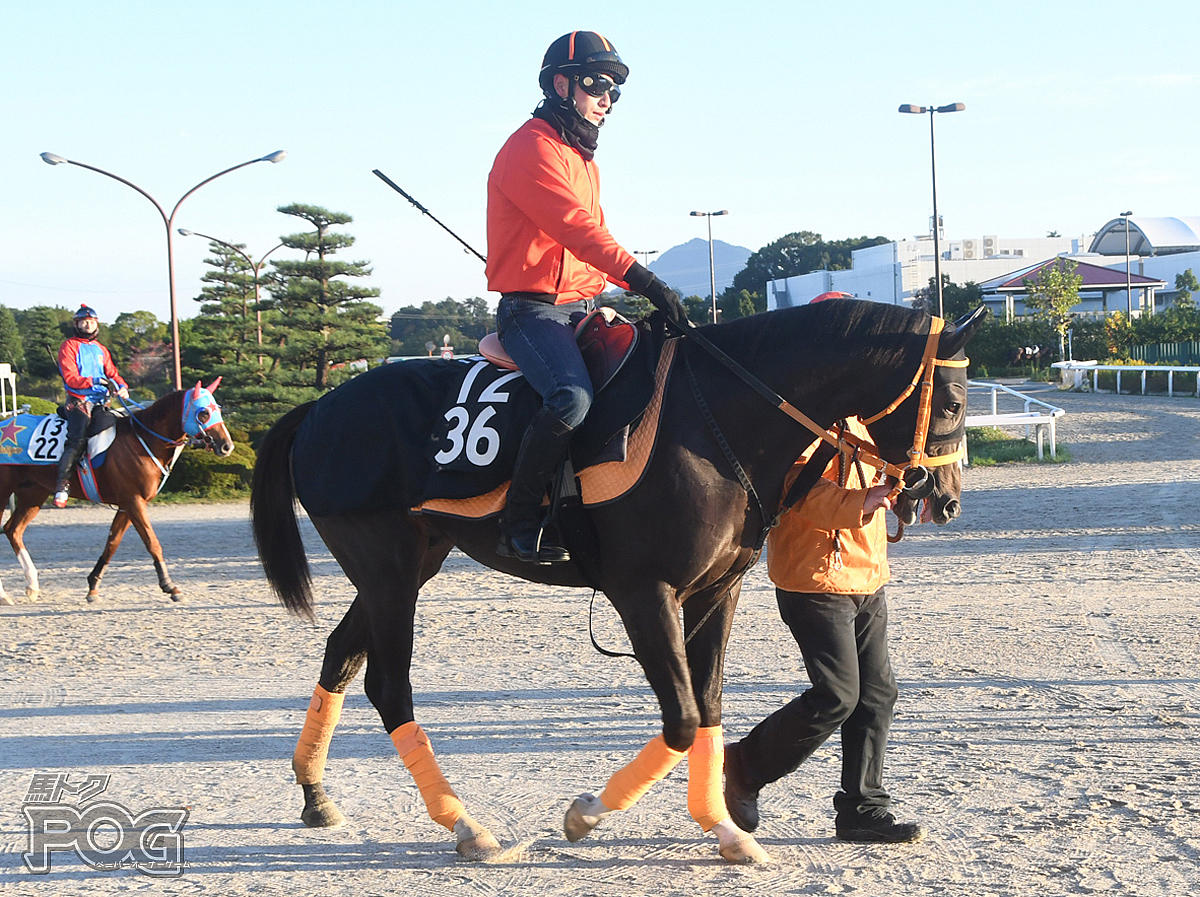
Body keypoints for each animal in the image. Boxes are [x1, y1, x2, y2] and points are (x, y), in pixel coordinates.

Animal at [0, 381, 232, 606]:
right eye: (203, 413)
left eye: (218, 409)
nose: (227, 446)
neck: (141, 440)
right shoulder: (133, 501)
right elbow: (152, 543)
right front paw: (170, 586)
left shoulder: (127, 504)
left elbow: (112, 544)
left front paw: (93, 586)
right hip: (5, 491)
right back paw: (4, 595)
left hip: (33, 494)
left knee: (13, 530)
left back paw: (32, 585)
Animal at [250, 299, 984, 863]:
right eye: (952, 400)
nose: (945, 497)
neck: (714, 415)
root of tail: (319, 408)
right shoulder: (644, 592)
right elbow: (682, 717)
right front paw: (588, 814)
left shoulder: (717, 591)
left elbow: (708, 705)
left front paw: (724, 827)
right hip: (390, 570)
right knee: (387, 686)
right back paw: (465, 823)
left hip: (405, 566)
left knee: (340, 655)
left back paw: (316, 795)